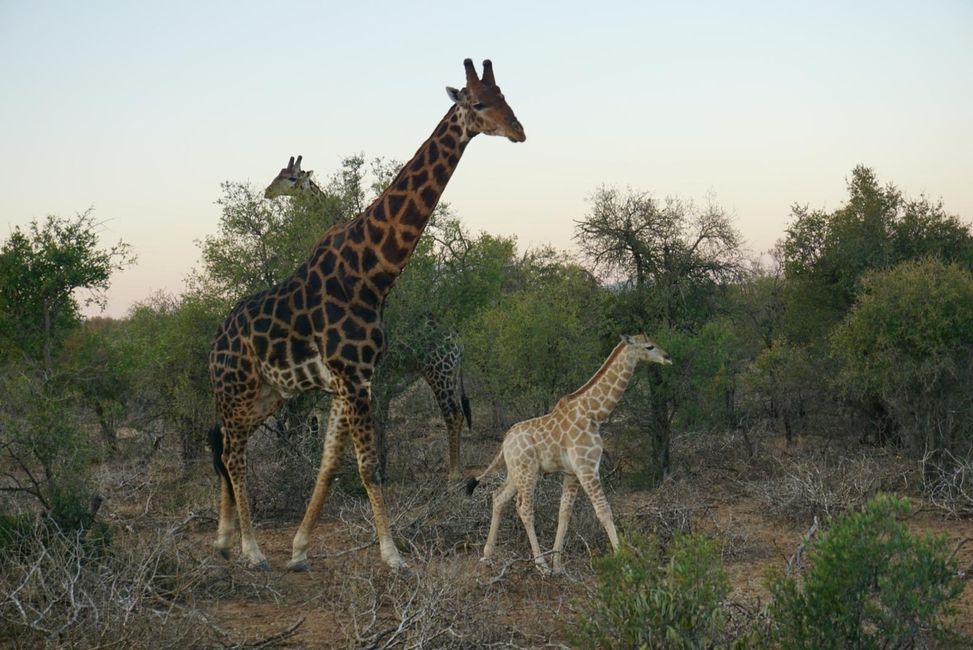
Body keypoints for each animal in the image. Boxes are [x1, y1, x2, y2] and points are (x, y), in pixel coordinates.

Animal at [206, 58, 524, 568]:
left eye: (505, 98)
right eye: (477, 103)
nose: (519, 131)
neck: (371, 274)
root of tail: (215, 340)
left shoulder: (349, 380)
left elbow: (329, 465)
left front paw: (299, 548)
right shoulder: (353, 378)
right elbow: (368, 466)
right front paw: (392, 555)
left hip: (266, 393)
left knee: (222, 442)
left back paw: (224, 540)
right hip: (236, 387)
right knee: (232, 450)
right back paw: (250, 550)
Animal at [468, 334, 672, 572]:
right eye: (649, 346)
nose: (667, 357)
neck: (594, 414)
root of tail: (505, 442)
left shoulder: (572, 472)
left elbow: (564, 513)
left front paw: (558, 564)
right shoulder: (587, 468)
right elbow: (603, 510)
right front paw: (624, 560)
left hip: (516, 472)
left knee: (499, 497)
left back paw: (488, 554)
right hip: (528, 472)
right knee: (524, 508)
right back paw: (540, 564)